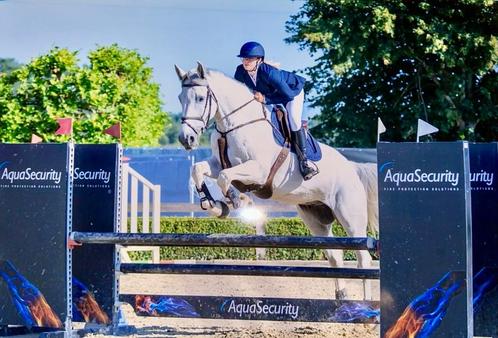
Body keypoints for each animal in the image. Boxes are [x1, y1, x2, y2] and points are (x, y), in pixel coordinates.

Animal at [174, 62, 378, 300]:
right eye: (180, 97)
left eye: (199, 98)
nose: (186, 139)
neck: (234, 125)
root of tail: (352, 167)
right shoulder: (217, 164)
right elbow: (198, 169)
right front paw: (215, 206)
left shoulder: (259, 171)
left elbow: (226, 178)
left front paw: (236, 201)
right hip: (314, 218)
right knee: (334, 255)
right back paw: (342, 297)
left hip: (350, 216)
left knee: (363, 257)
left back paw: (367, 306)